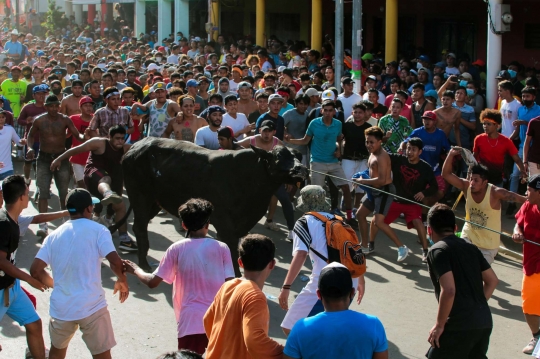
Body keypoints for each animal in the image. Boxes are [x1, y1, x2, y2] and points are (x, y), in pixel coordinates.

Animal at [115, 139, 308, 274]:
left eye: (298, 156)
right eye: (278, 156)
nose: (302, 170)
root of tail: (136, 146)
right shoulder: (225, 224)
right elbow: (231, 252)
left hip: (155, 202)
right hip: (140, 197)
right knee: (139, 226)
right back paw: (144, 264)